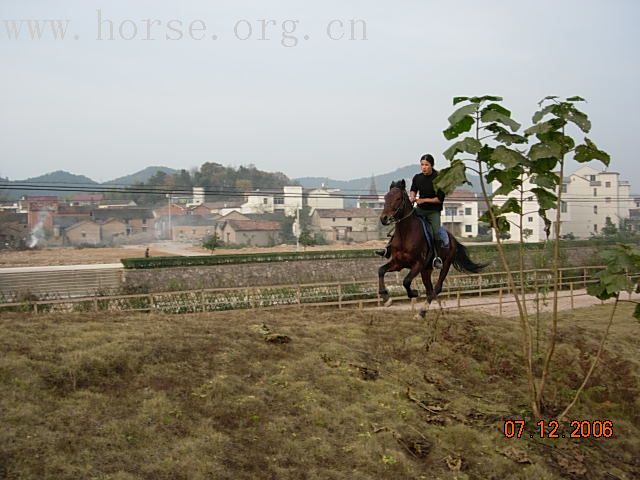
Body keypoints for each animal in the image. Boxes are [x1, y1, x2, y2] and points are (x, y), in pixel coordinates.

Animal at [378, 180, 482, 312]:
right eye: (386, 197)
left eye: (398, 198)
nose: (384, 218)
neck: (406, 234)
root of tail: (452, 239)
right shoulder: (398, 263)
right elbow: (381, 271)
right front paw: (386, 298)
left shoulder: (418, 264)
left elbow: (406, 281)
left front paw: (414, 293)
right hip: (426, 270)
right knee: (430, 289)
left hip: (445, 265)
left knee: (436, 288)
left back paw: (423, 311)